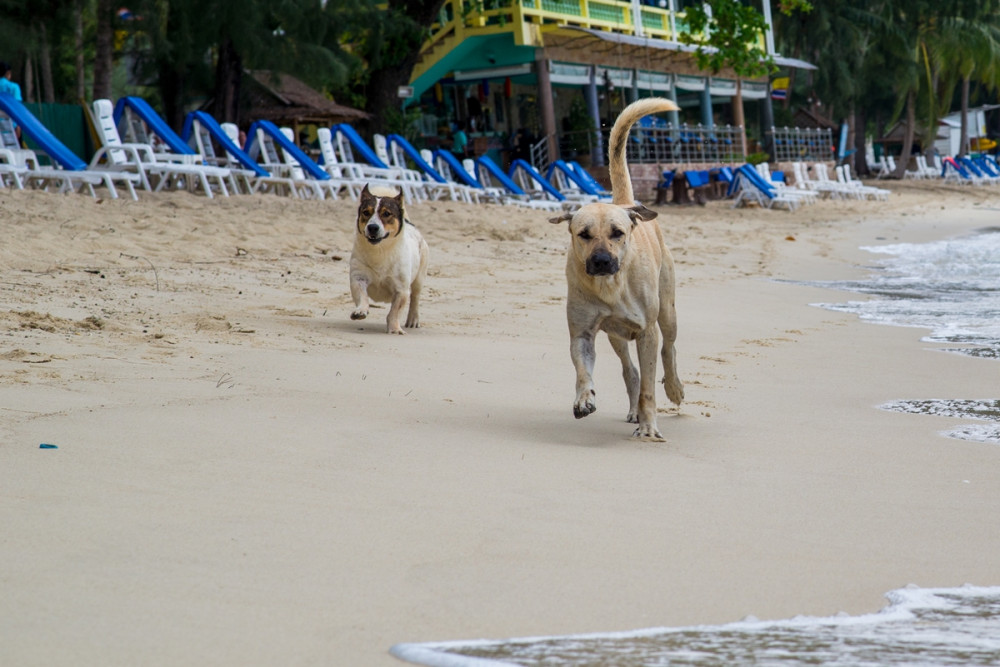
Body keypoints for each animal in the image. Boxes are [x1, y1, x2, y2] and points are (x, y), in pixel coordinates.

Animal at [350, 185, 428, 334]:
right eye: (366, 212)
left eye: (386, 214)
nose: (372, 227)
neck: (380, 251)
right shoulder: (358, 277)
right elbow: (362, 296)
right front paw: (361, 311)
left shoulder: (401, 289)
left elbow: (395, 312)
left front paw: (394, 328)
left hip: (419, 277)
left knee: (415, 297)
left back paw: (413, 319)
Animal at [552, 99, 684, 440]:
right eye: (583, 234)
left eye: (617, 233)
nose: (600, 261)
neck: (611, 286)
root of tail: (624, 202)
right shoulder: (583, 332)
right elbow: (583, 371)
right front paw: (584, 399)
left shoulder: (647, 332)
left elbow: (651, 386)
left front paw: (648, 427)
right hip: (616, 335)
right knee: (629, 369)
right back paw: (633, 408)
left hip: (667, 310)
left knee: (669, 349)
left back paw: (674, 389)